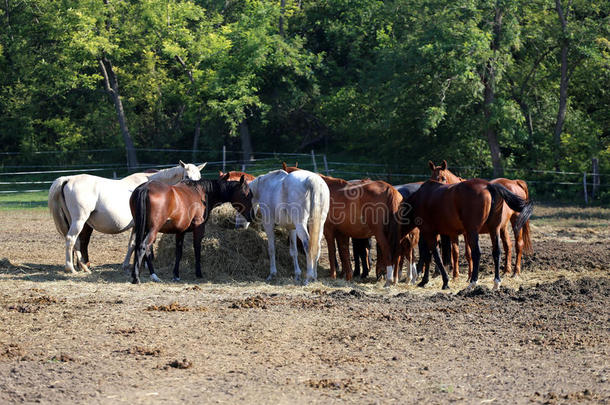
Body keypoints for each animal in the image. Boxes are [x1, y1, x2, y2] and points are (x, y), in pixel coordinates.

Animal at [47, 160, 204, 272]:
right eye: (187, 176)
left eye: (199, 177)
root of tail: (68, 179)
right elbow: (141, 243)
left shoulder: (137, 225)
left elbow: (132, 244)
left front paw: (127, 264)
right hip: (79, 221)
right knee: (71, 239)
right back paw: (71, 268)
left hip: (74, 222)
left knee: (77, 243)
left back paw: (84, 267)